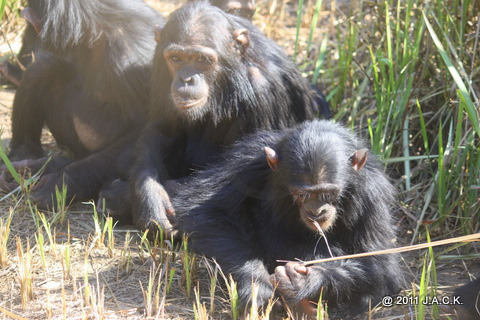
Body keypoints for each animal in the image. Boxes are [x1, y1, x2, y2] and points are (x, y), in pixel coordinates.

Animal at [0, 0, 165, 209]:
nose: (31, 29)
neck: (96, 26)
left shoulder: (132, 60)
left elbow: (144, 133)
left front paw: (61, 182)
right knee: (44, 67)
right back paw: (23, 156)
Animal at [101, 1, 326, 231]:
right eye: (175, 58)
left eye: (201, 59)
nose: (186, 79)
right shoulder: (160, 69)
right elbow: (163, 130)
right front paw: (151, 197)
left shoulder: (264, 89)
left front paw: (121, 195)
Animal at [172, 120, 402, 318]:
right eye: (303, 194)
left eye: (328, 193)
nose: (317, 211)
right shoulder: (246, 160)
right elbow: (203, 210)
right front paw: (259, 286)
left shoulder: (371, 192)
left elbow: (378, 261)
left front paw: (305, 281)